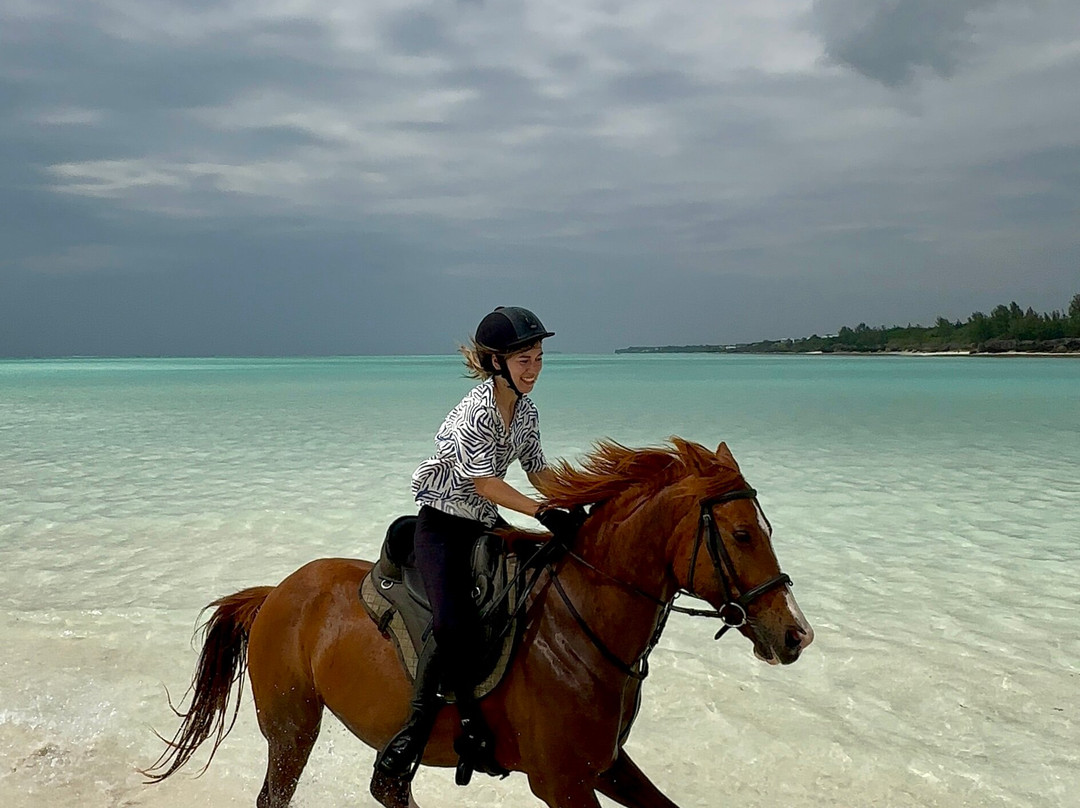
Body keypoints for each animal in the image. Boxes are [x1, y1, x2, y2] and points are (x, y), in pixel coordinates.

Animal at [144, 438, 814, 808]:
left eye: (766, 528)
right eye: (743, 534)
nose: (796, 635)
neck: (581, 630)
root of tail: (276, 592)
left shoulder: (606, 766)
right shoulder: (563, 783)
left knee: (390, 790)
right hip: (292, 729)